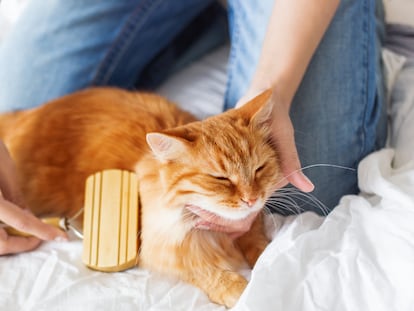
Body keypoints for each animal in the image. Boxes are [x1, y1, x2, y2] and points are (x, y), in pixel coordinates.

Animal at [0, 88, 282, 310]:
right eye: (221, 178)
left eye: (259, 169)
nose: (251, 199)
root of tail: (24, 115)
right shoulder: (162, 250)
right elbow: (206, 271)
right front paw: (241, 290)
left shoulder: (251, 223)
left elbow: (258, 243)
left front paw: (266, 261)